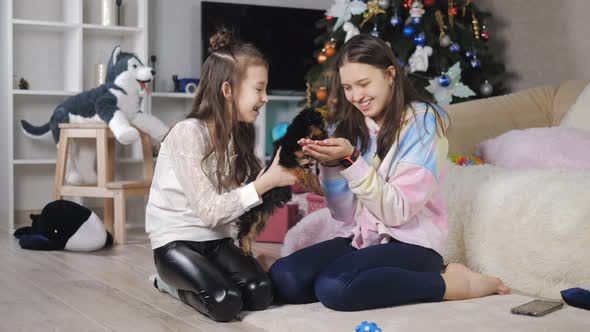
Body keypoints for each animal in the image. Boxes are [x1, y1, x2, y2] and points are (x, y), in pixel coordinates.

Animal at [239, 107, 330, 255]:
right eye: (321, 126)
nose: (327, 136)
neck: (296, 136)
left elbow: (310, 175)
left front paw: (319, 189)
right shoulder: (287, 159)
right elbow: (301, 171)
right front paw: (319, 189)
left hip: (262, 217)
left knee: (252, 231)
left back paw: (248, 249)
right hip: (254, 214)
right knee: (244, 232)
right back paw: (245, 250)